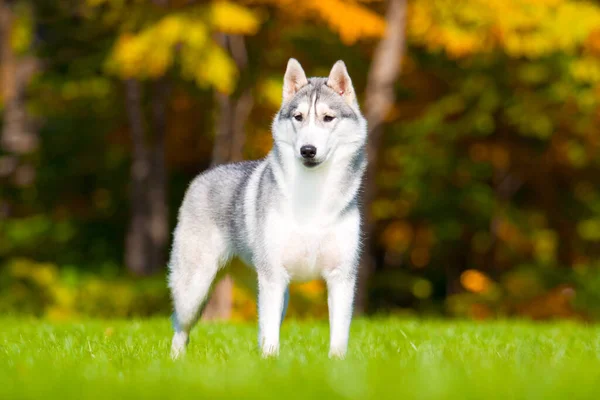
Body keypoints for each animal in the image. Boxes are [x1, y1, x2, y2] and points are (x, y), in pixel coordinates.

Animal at [166, 59, 368, 360]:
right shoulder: (274, 276)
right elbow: (271, 334)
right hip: (195, 288)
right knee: (180, 325)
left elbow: (339, 335)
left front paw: (336, 363)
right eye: (298, 117)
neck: (312, 195)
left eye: (328, 118)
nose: (308, 150)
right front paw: (272, 361)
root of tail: (202, 176)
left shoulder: (341, 276)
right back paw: (175, 361)